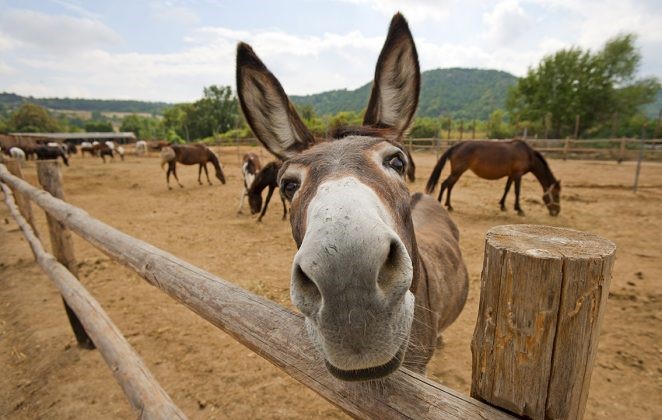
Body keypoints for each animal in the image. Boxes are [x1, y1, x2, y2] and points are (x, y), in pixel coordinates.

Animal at [425, 140, 561, 216]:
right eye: (556, 195)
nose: (556, 212)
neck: (527, 154)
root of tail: (456, 146)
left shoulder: (511, 175)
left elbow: (507, 189)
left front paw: (502, 206)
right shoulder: (517, 174)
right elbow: (517, 191)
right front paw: (519, 209)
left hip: (457, 173)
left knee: (450, 186)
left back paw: (449, 205)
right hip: (457, 172)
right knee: (444, 184)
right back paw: (440, 204)